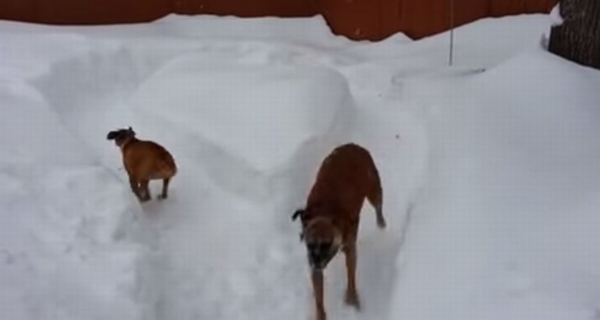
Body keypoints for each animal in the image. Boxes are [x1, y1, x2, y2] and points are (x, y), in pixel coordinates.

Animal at [292, 143, 386, 320]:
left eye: (326, 244)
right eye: (309, 244)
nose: (315, 261)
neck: (324, 214)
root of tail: (352, 145)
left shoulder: (350, 250)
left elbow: (351, 276)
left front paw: (352, 300)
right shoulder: (315, 269)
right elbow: (319, 297)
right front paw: (320, 314)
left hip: (374, 188)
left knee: (378, 207)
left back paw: (382, 224)